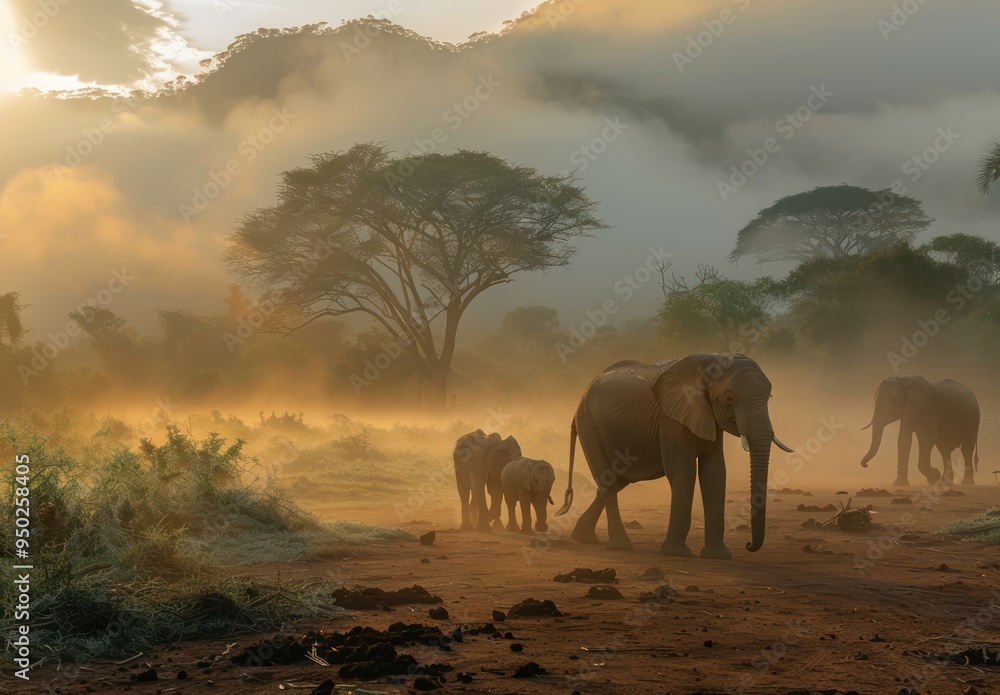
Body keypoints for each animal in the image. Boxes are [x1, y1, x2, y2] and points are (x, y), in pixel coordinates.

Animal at [556, 356, 788, 556]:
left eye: (769, 397)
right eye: (730, 398)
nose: (748, 544)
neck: (711, 361)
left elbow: (714, 474)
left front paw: (718, 556)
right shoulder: (670, 420)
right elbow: (683, 472)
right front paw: (676, 553)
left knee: (619, 480)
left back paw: (583, 538)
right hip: (590, 426)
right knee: (609, 481)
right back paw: (620, 546)